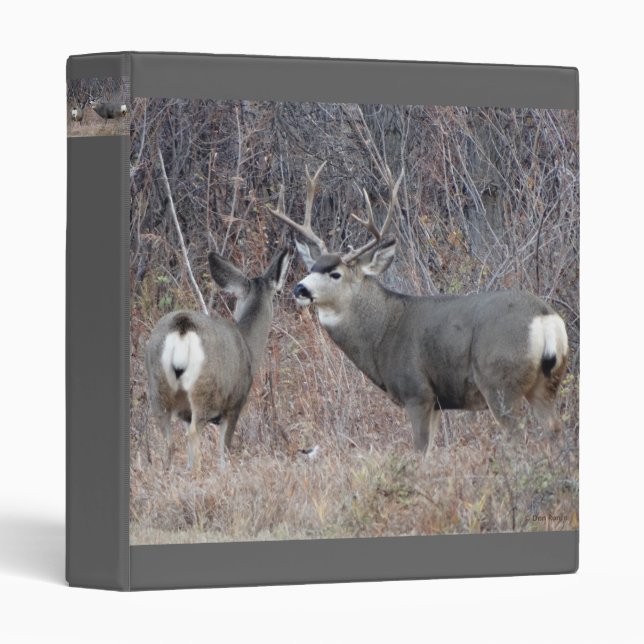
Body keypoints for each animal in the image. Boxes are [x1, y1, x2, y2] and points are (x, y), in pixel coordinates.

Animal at [145, 248, 290, 471]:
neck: (248, 345)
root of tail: (182, 327)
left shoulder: (186, 413)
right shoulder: (235, 404)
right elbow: (225, 452)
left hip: (157, 387)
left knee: (169, 442)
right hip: (204, 391)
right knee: (193, 434)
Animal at [268, 163, 568, 454]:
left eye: (335, 274)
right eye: (312, 268)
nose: (299, 289)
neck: (382, 332)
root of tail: (545, 319)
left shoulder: (418, 392)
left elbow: (421, 452)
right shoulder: (436, 401)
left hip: (500, 382)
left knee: (518, 437)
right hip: (546, 383)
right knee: (554, 430)